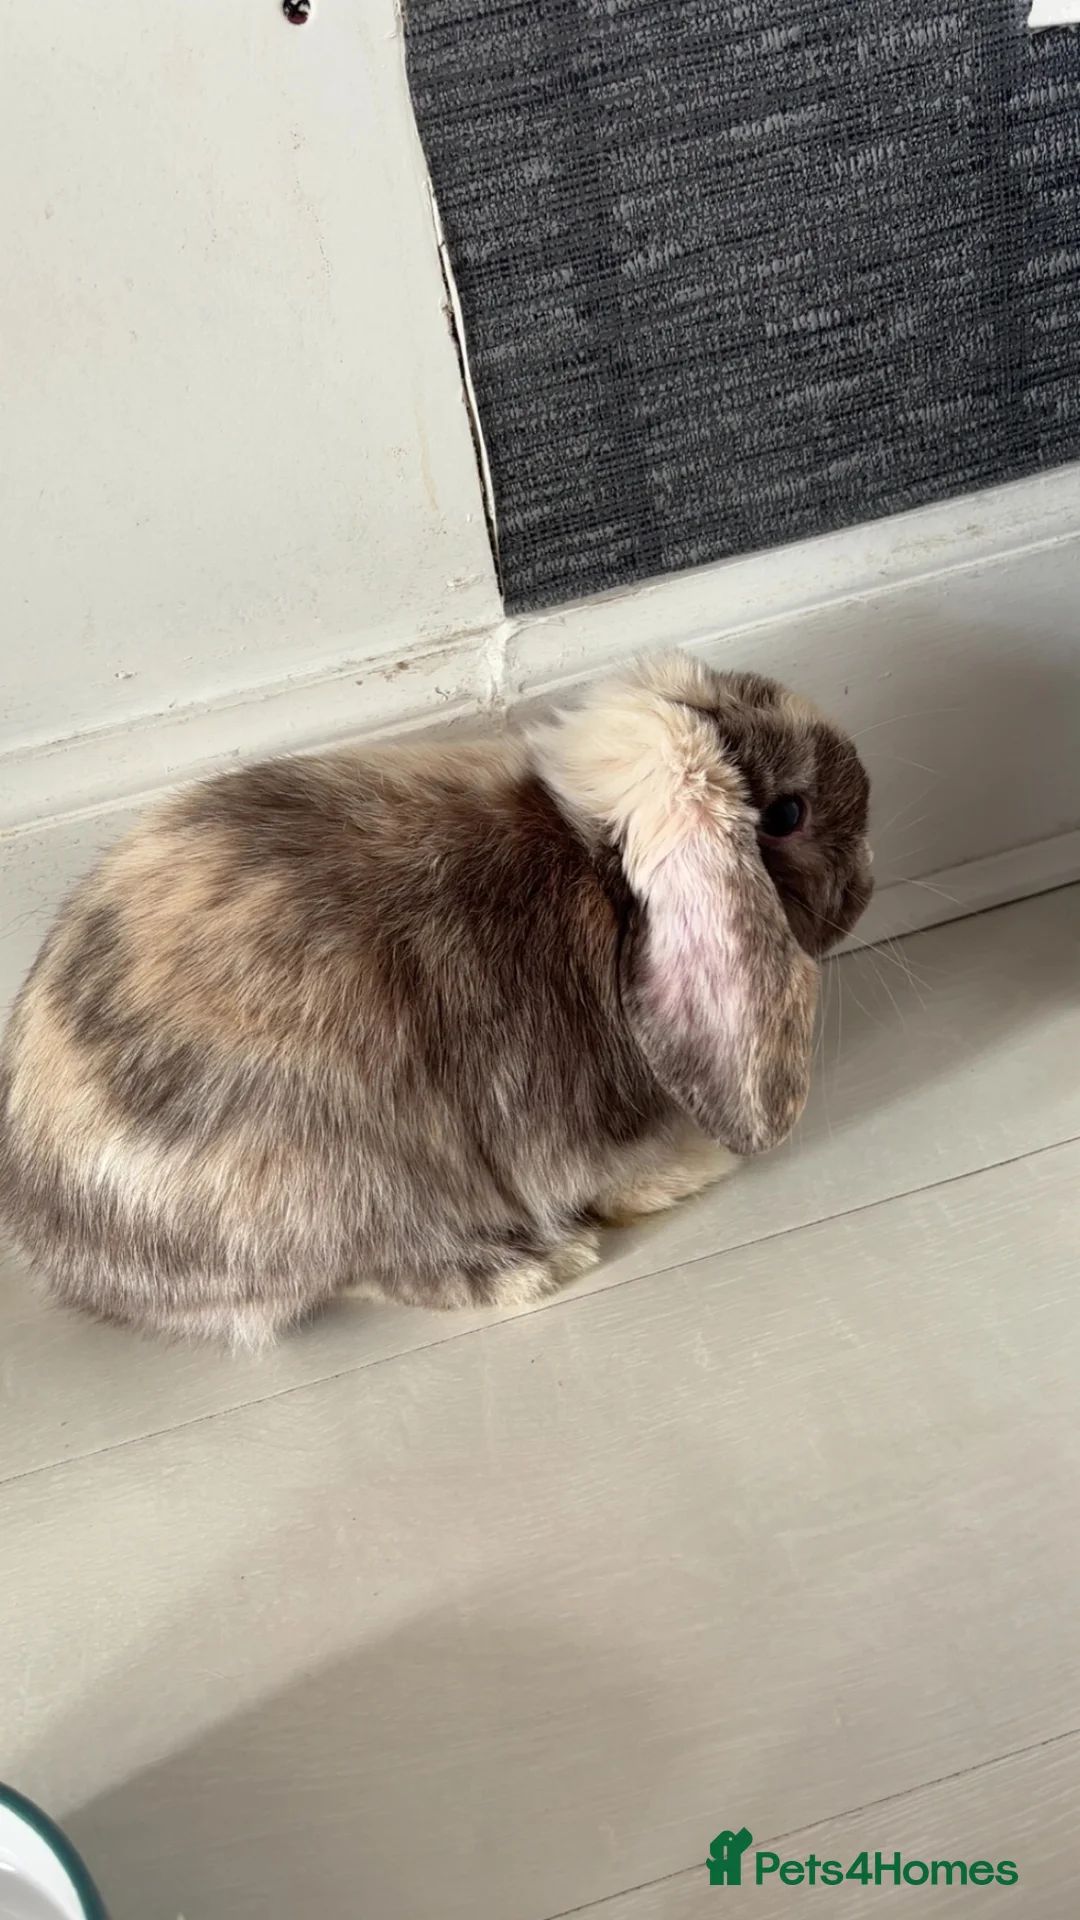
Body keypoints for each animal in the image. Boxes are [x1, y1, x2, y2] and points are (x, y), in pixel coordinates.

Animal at [0, 650, 872, 1347]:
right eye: (787, 814)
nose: (867, 885)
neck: (606, 875)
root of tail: (62, 1253)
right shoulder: (557, 1122)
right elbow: (602, 1173)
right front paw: (686, 1170)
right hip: (337, 1182)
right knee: (378, 1268)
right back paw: (532, 1265)